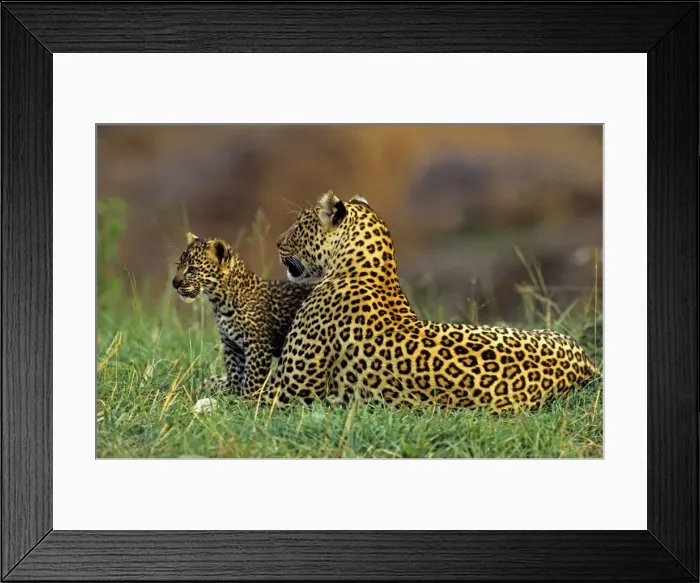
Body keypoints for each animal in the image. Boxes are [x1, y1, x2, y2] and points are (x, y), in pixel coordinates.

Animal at [172, 232, 315, 396]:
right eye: (178, 266)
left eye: (192, 270)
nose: (174, 283)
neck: (222, 303)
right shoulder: (231, 345)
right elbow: (234, 371)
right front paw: (232, 392)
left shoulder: (258, 346)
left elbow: (252, 378)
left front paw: (248, 398)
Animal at [257, 190, 598, 413]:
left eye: (299, 225)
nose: (276, 243)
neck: (370, 269)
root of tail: (587, 366)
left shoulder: (288, 389)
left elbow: (246, 396)